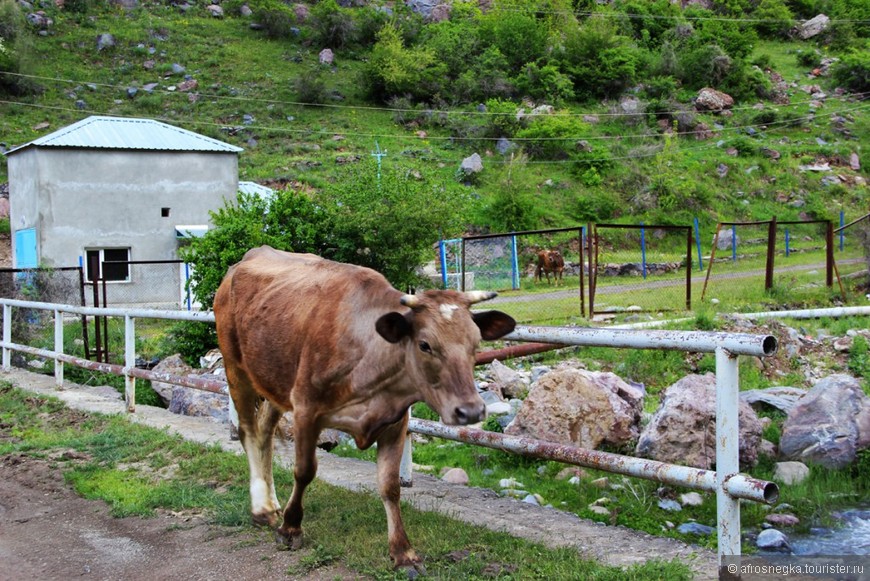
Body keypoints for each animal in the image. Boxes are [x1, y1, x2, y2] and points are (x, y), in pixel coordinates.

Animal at [212, 246, 516, 572]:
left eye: (475, 343)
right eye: (425, 344)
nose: (470, 411)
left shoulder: (395, 422)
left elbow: (390, 486)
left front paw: (403, 552)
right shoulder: (306, 408)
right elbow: (304, 471)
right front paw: (291, 529)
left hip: (274, 382)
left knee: (265, 432)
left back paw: (271, 503)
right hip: (236, 367)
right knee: (248, 432)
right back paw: (261, 510)